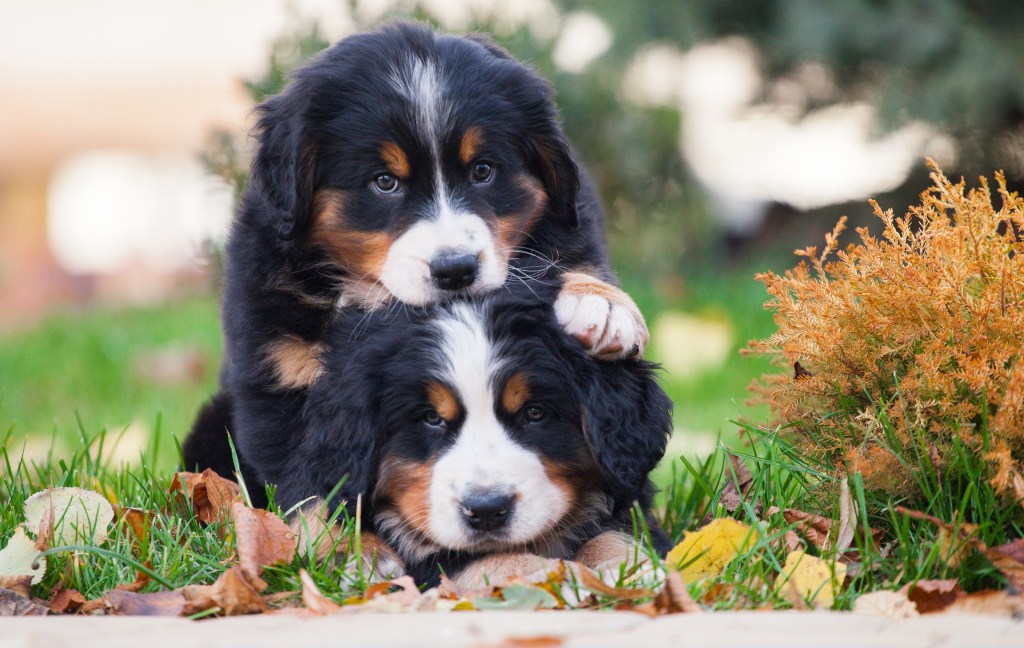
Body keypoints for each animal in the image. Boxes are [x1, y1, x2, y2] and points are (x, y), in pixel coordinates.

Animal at [191, 280, 671, 585]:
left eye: (535, 413)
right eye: (430, 419)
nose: (487, 510)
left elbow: (619, 533)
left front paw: (635, 571)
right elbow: (493, 559)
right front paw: (560, 577)